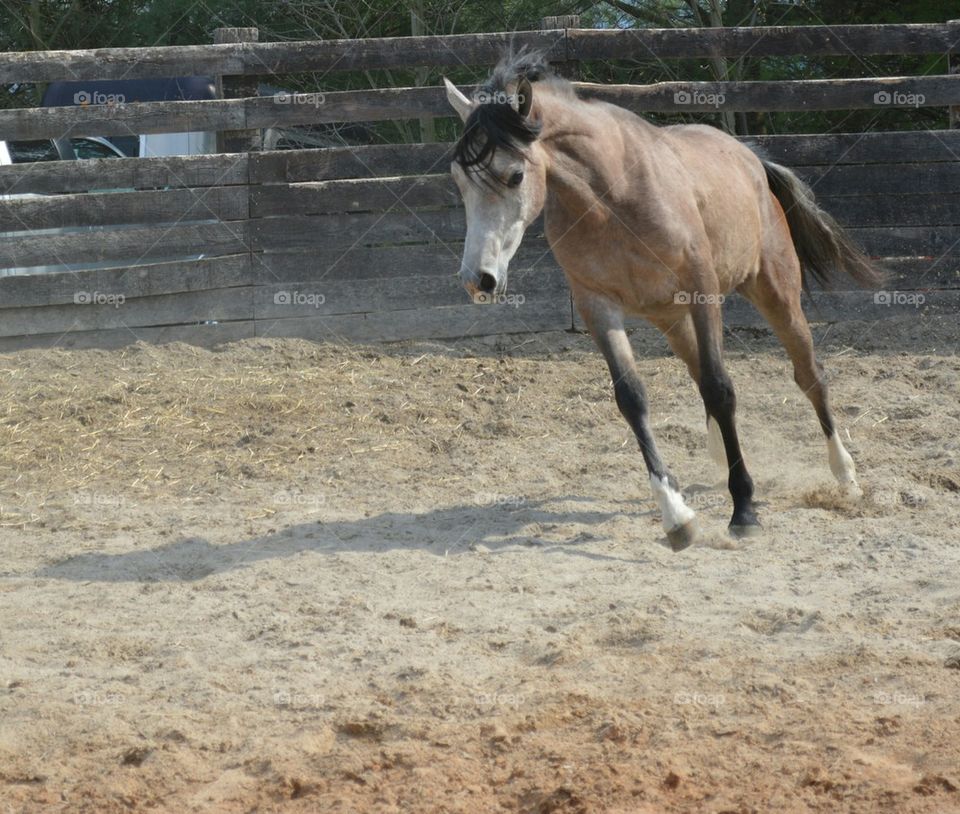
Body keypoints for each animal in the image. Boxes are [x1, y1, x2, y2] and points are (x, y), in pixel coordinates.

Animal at [442, 52, 884, 556]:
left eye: (514, 175)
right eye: (459, 180)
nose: (478, 280)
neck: (612, 197)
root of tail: (751, 160)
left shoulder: (702, 291)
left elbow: (720, 388)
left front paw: (744, 511)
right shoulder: (597, 307)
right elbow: (632, 399)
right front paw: (676, 517)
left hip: (775, 294)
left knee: (808, 375)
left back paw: (845, 476)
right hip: (671, 319)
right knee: (700, 374)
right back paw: (721, 455)